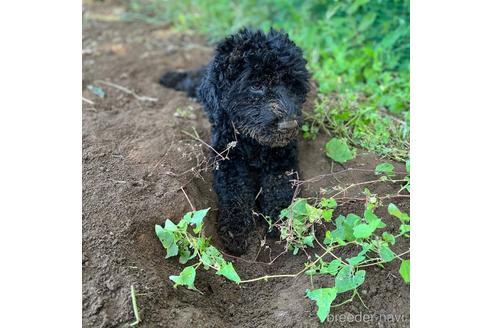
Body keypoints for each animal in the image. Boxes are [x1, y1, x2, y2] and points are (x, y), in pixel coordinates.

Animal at [160, 28, 310, 254]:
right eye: (256, 85)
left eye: (293, 84)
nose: (288, 126)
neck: (253, 142)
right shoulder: (228, 159)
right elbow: (234, 191)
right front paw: (236, 230)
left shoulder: (283, 157)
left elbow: (280, 186)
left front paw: (283, 220)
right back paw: (168, 77)